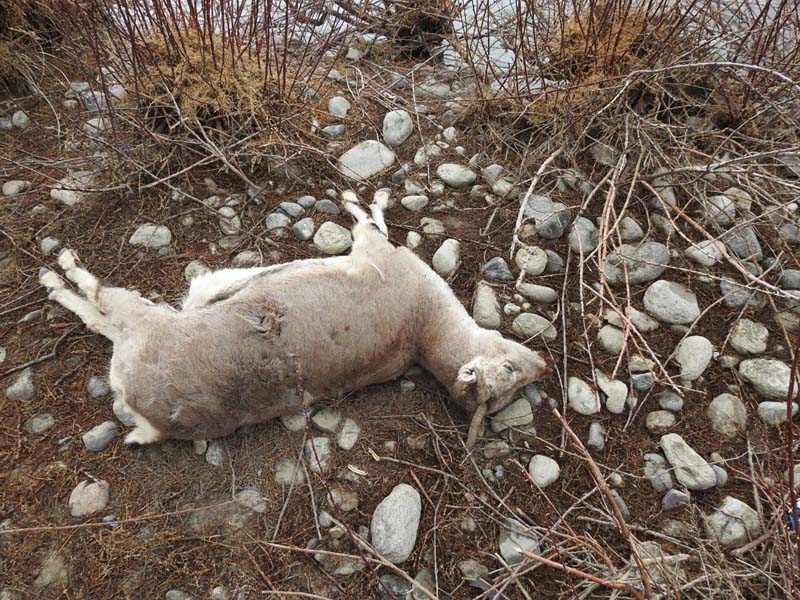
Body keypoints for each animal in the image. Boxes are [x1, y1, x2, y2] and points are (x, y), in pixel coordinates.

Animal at [39, 190, 552, 449]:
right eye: (511, 368)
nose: (544, 364)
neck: (425, 327)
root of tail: (153, 422)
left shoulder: (379, 252)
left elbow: (370, 218)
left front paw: (355, 193)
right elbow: (372, 218)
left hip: (144, 327)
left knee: (101, 304)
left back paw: (58, 269)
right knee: (100, 316)